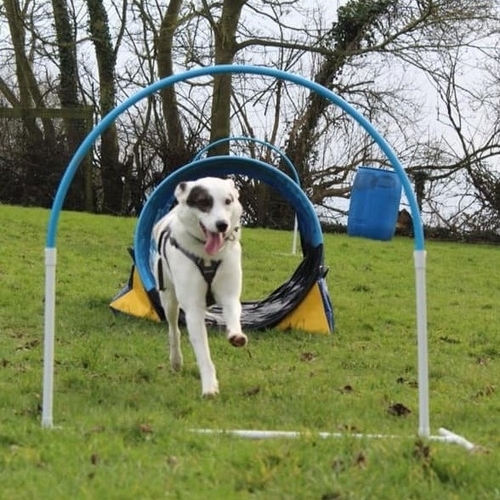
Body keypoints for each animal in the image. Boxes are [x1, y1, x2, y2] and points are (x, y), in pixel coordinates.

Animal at [151, 178, 247, 396]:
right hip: (168, 297)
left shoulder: (229, 294)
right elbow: (203, 352)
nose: (222, 225)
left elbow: (232, 311)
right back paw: (176, 361)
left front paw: (236, 334)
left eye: (228, 201)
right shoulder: (193, 309)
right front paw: (209, 386)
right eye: (204, 202)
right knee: (173, 329)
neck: (208, 256)